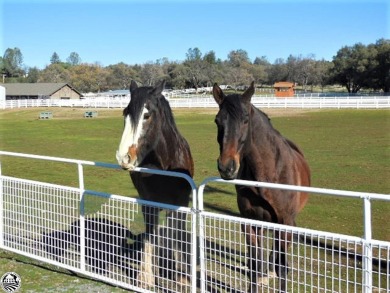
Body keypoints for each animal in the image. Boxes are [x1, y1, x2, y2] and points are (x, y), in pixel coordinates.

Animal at [116, 79, 195, 288]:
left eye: (146, 115)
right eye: (125, 114)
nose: (123, 157)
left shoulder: (180, 203)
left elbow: (177, 235)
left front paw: (182, 277)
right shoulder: (148, 203)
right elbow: (149, 236)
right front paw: (145, 277)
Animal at [212, 81, 310, 292]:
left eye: (245, 120)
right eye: (217, 121)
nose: (226, 167)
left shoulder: (284, 222)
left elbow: (282, 268)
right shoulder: (250, 222)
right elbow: (254, 266)